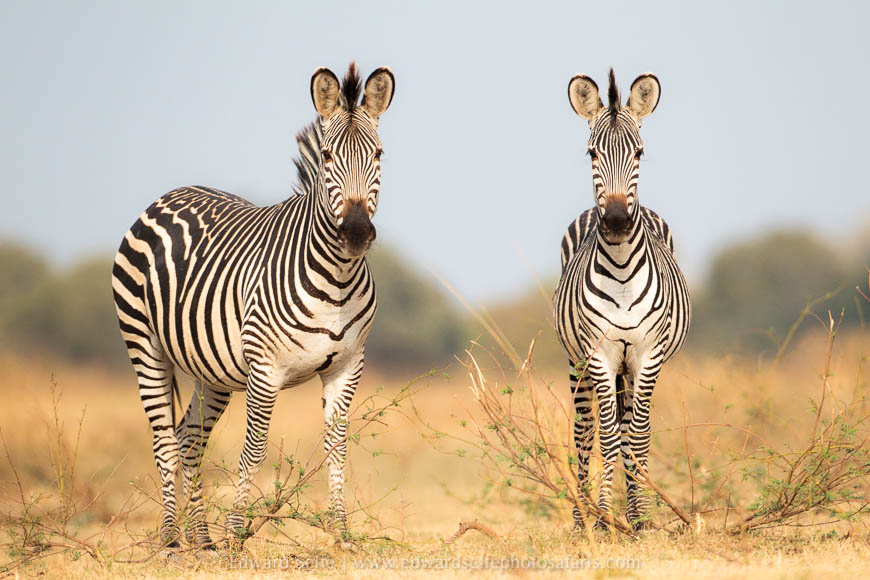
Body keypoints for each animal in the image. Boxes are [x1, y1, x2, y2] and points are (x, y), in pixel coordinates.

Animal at [112, 63, 395, 547]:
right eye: (326, 158)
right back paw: (172, 539)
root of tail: (170, 194)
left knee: (189, 438)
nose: (356, 234)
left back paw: (201, 538)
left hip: (211, 370)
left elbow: (337, 446)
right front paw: (236, 535)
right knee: (165, 441)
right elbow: (255, 447)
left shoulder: (347, 366)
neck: (337, 278)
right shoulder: (264, 368)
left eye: (378, 155)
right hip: (144, 345)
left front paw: (341, 532)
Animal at [554, 69, 691, 531]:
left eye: (640, 152)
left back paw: (630, 511)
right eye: (592, 153)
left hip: (632, 367)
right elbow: (610, 437)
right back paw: (583, 516)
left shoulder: (647, 354)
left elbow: (639, 436)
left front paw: (642, 517)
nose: (614, 222)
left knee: (631, 426)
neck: (622, 271)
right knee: (585, 431)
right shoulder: (599, 354)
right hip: (579, 363)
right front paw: (601, 518)